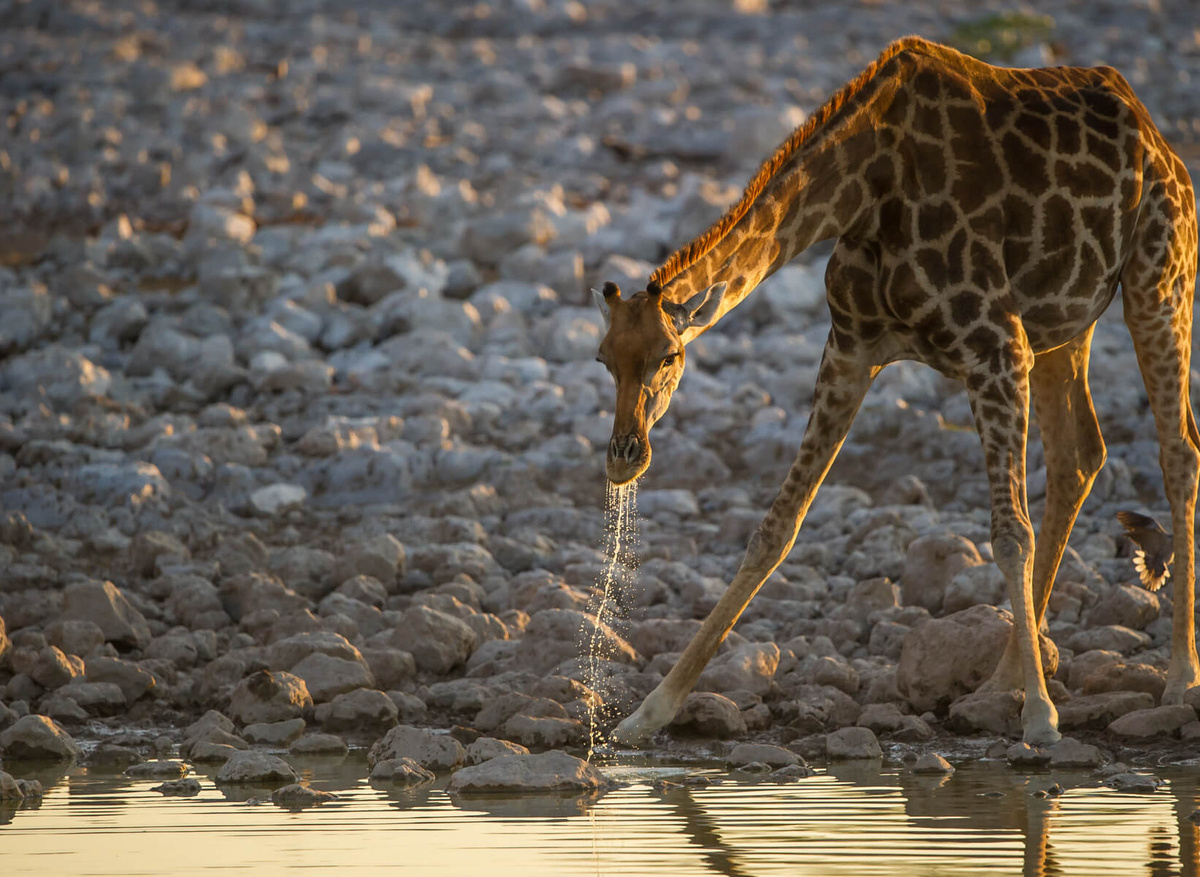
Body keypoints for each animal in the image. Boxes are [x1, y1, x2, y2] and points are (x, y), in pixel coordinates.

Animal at [593, 36, 1199, 747]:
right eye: (603, 360)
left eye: (669, 356)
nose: (624, 458)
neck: (865, 187)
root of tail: (1159, 141)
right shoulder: (852, 348)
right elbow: (775, 527)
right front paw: (647, 712)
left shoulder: (994, 346)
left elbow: (1008, 533)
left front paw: (1043, 720)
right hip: (1062, 324)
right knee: (1079, 455)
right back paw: (1000, 683)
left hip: (1158, 279)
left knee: (1178, 452)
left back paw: (1178, 681)